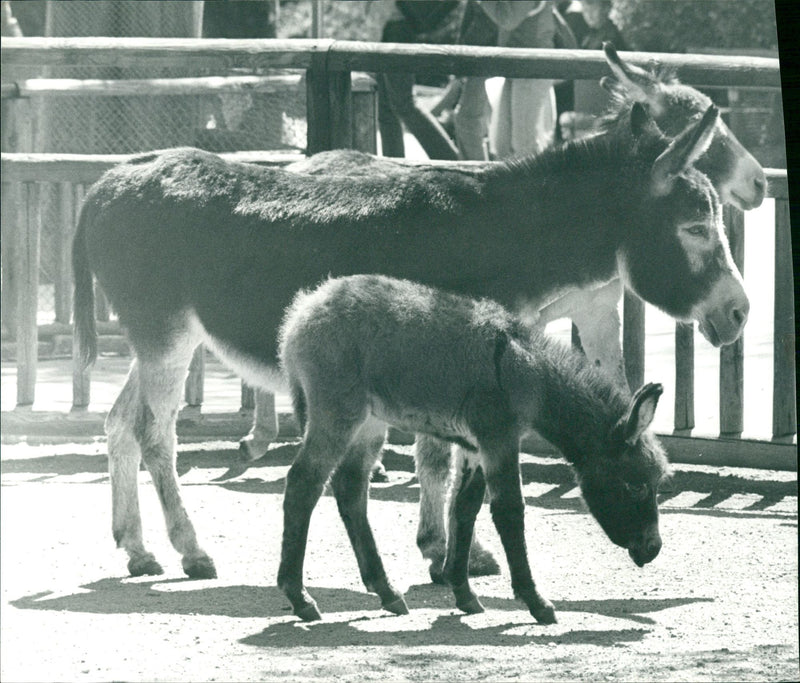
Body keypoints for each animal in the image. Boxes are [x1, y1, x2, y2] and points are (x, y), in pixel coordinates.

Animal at [278, 276, 672, 624]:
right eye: (636, 486)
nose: (653, 549)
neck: (526, 372)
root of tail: (303, 311)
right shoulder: (499, 437)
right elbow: (509, 511)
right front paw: (535, 601)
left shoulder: (475, 446)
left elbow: (464, 508)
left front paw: (463, 592)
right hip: (338, 412)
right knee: (303, 484)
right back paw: (300, 598)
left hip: (369, 423)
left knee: (350, 488)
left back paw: (386, 592)